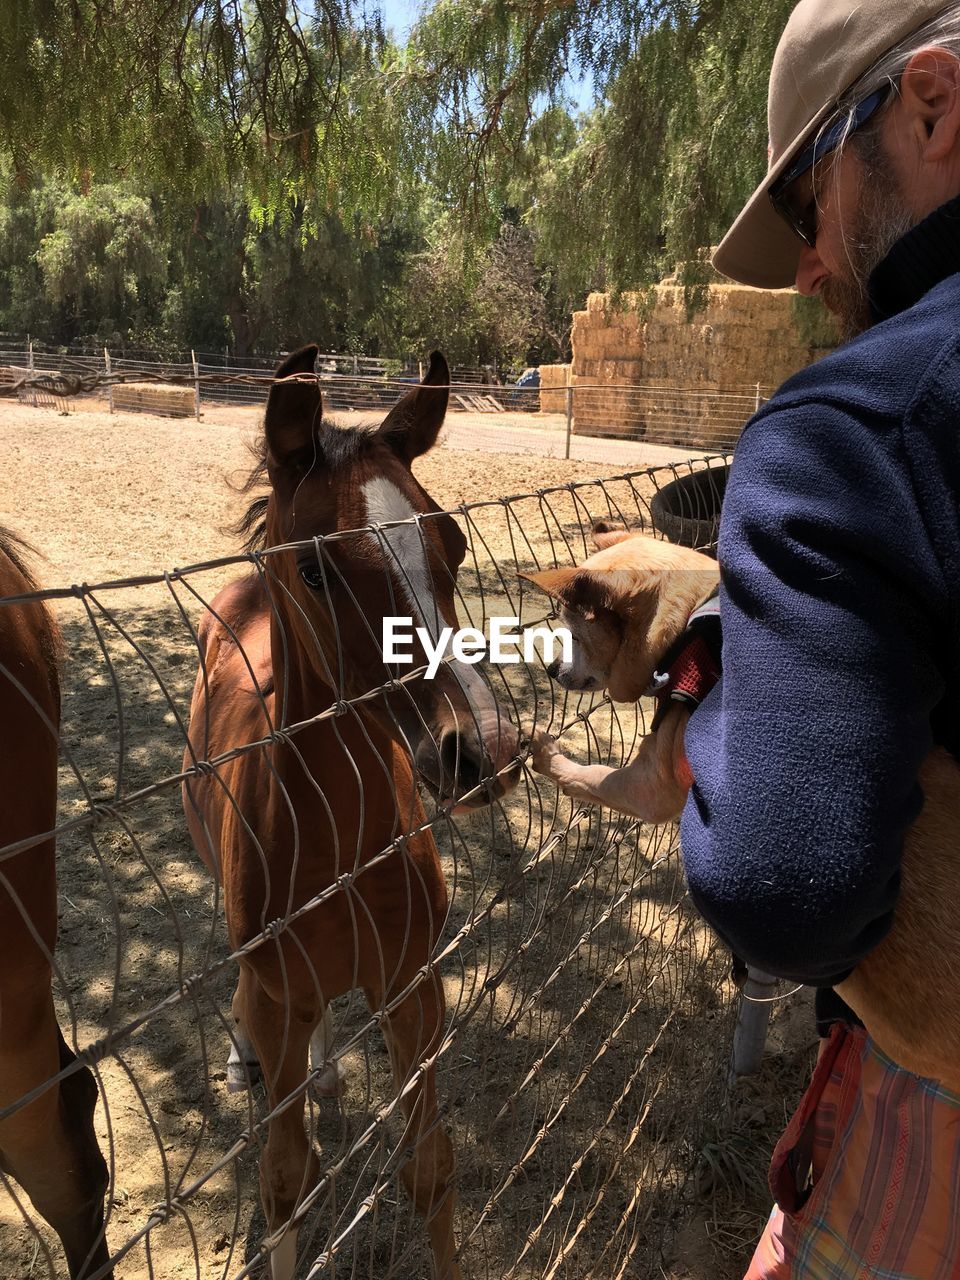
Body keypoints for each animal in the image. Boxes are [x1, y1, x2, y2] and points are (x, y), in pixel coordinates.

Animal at [184, 345, 522, 1274]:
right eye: (314, 567)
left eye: (452, 539)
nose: (479, 748)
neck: (337, 847)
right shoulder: (279, 1002)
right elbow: (283, 1186)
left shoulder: (413, 986)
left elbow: (431, 1171)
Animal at [529, 522, 960, 1090]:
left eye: (575, 636)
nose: (551, 669)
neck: (696, 626)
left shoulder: (649, 786)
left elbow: (592, 778)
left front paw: (545, 755)